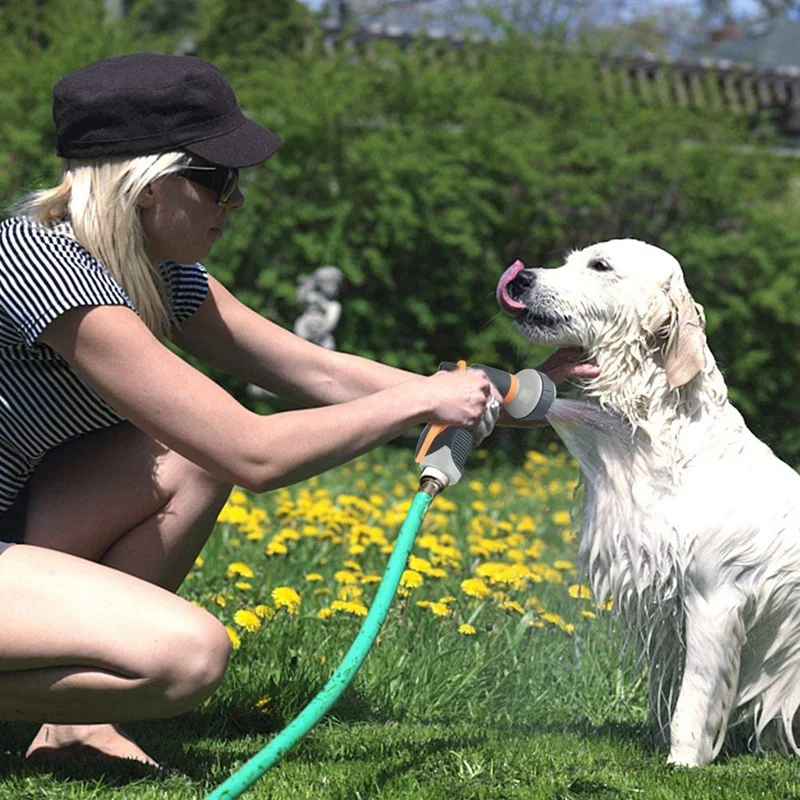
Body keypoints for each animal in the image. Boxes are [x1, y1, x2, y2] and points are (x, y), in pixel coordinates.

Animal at [494, 241, 800, 764]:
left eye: (600, 265)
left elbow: (692, 701)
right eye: (570, 259)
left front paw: (682, 761)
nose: (520, 279)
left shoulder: (714, 600)